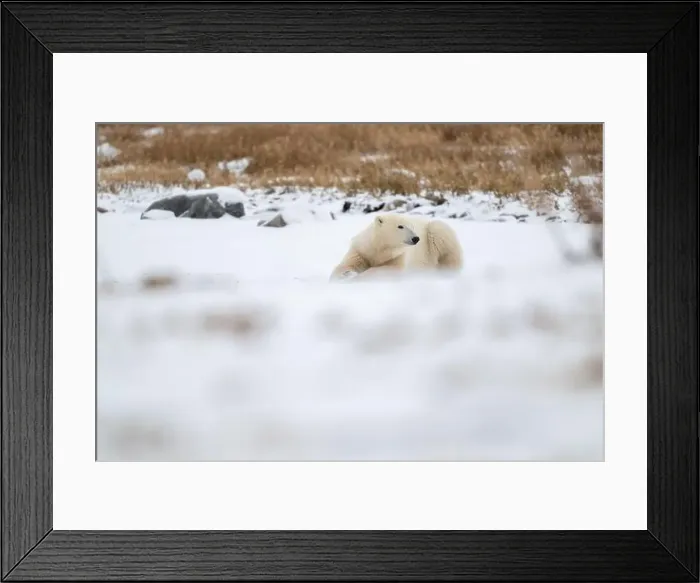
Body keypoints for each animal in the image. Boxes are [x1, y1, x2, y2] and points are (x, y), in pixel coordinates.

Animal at [330, 214, 463, 281]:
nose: (416, 238)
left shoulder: (399, 255)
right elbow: (347, 264)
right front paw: (346, 274)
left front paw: (356, 277)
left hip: (435, 234)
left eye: (412, 226)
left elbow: (390, 269)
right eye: (400, 226)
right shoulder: (362, 250)